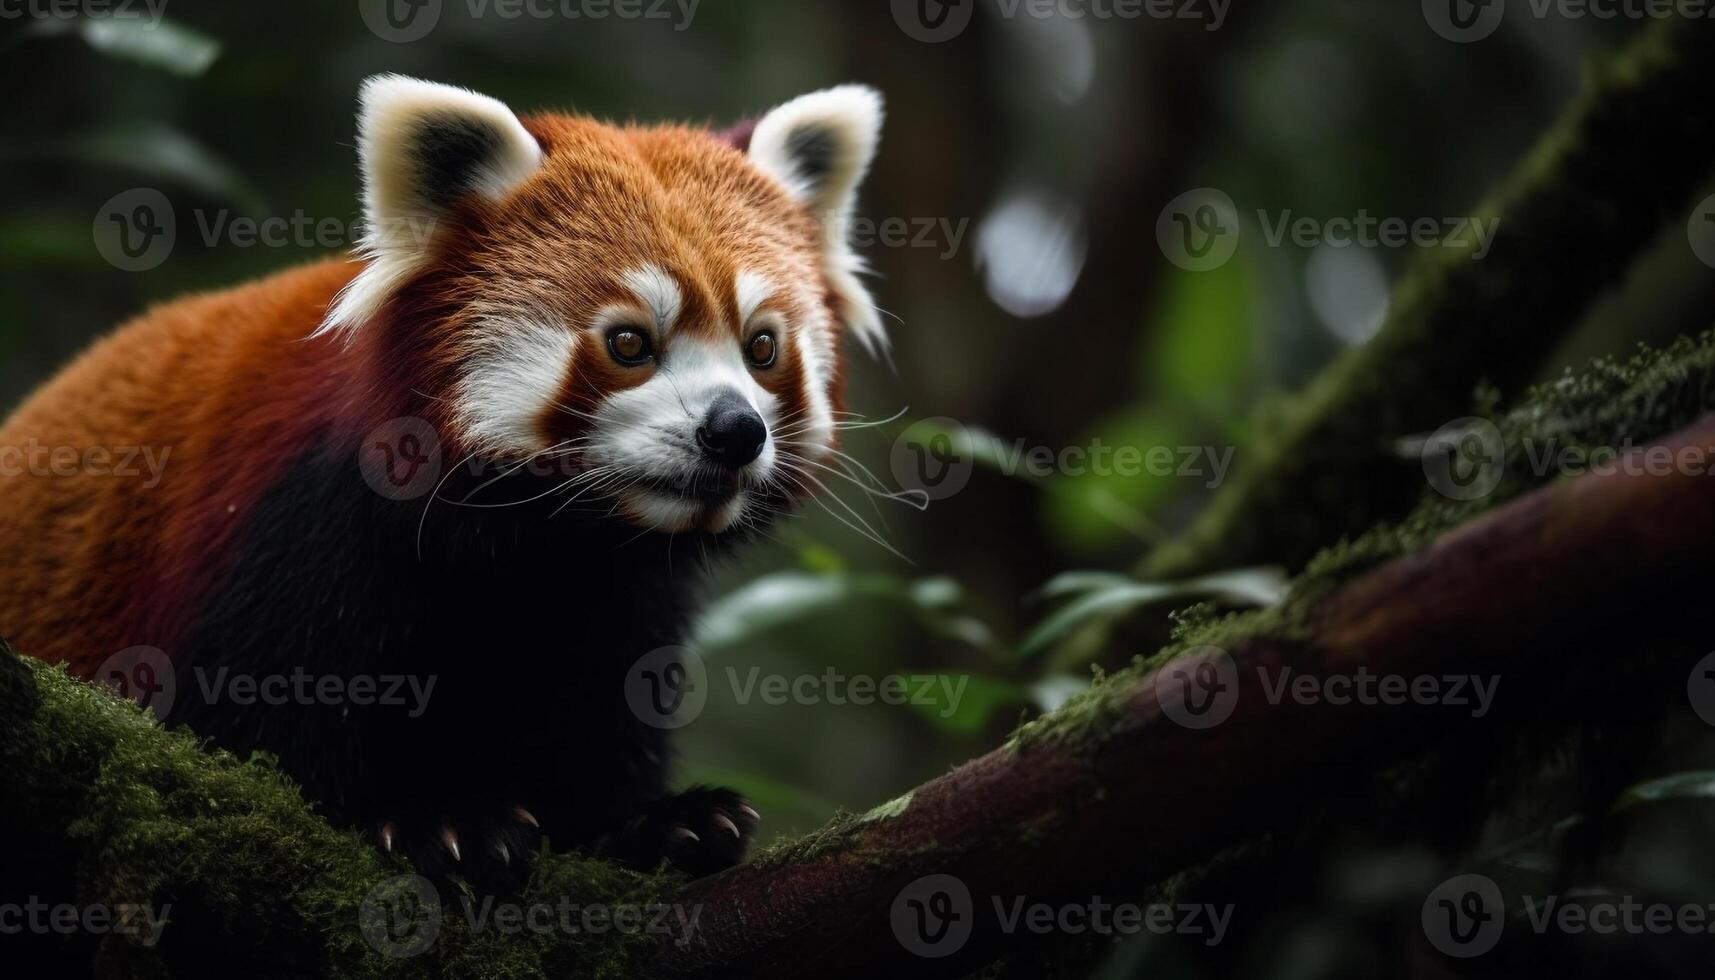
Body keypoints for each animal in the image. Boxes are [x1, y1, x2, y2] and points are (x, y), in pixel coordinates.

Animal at [0, 76, 884, 885]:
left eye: (762, 347)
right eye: (630, 343)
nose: (735, 432)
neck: (541, 539)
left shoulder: (616, 599)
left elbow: (598, 708)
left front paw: (654, 821)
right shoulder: (286, 534)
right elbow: (260, 728)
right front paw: (435, 819)